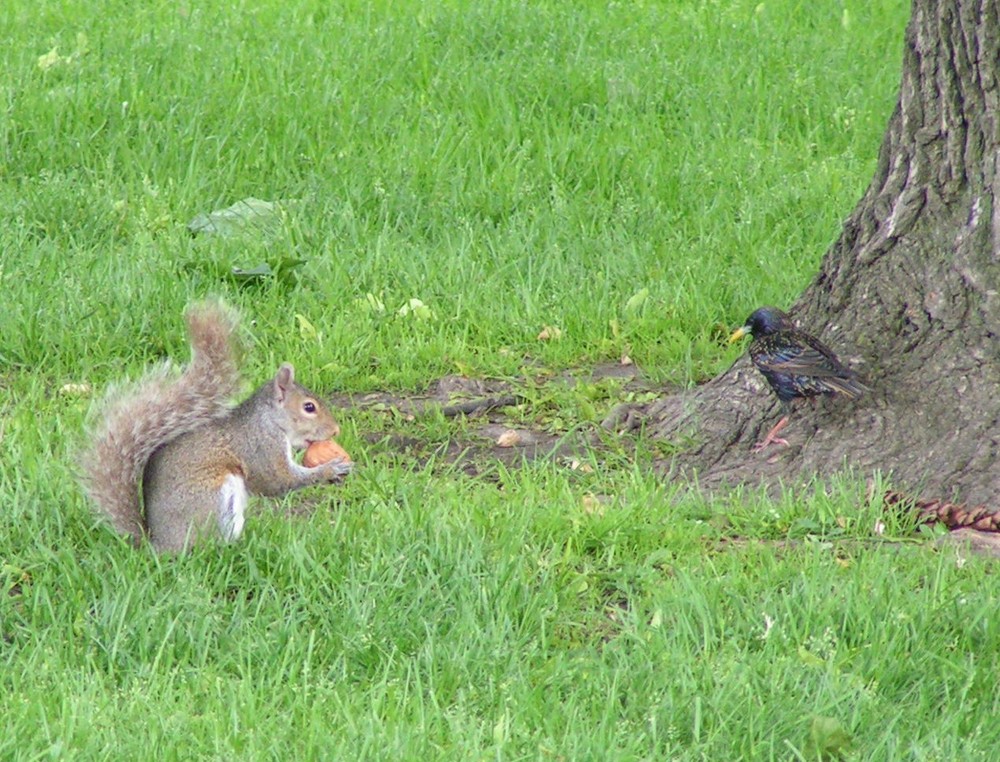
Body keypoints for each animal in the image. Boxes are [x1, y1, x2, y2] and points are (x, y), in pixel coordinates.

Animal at [84, 298, 354, 552]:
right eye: (309, 407)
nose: (335, 430)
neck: (269, 421)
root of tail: (158, 545)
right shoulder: (260, 447)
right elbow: (278, 480)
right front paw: (331, 469)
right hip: (214, 497)